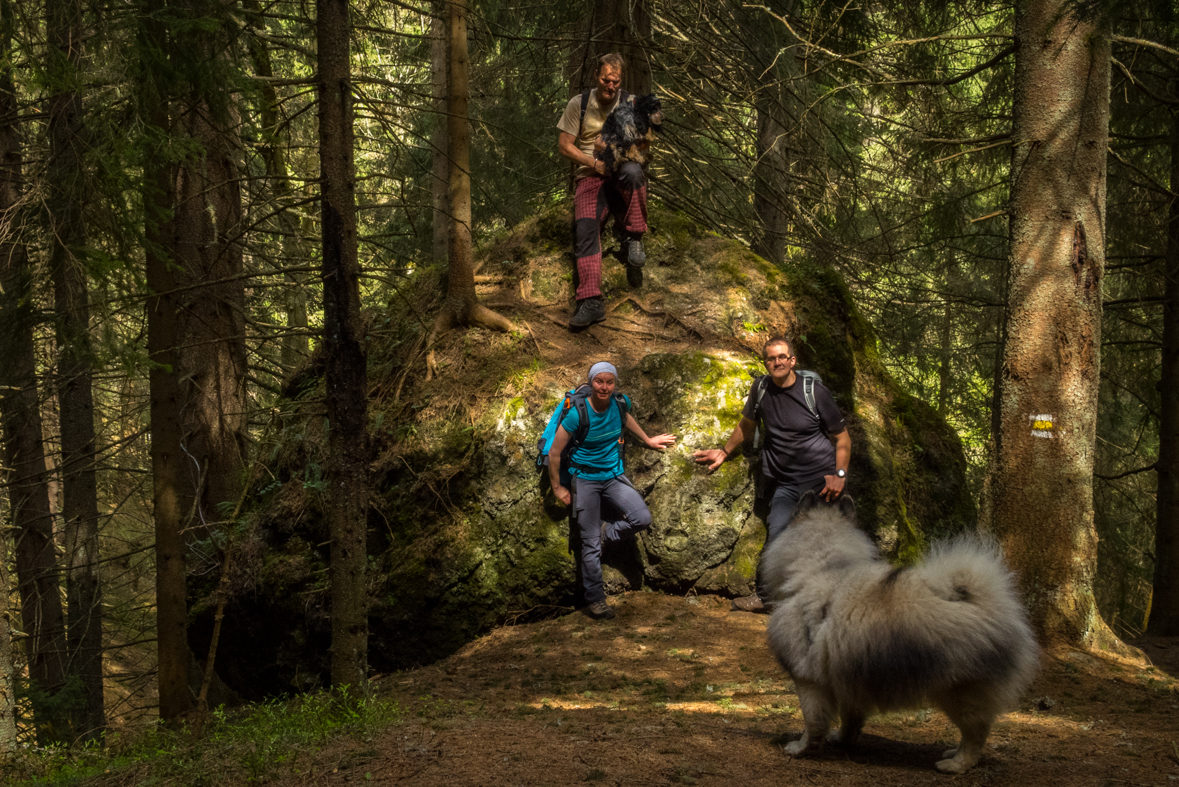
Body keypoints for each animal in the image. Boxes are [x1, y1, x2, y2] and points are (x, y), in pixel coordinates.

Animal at [763, 492, 1032, 772]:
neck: (825, 567)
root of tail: (992, 606)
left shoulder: (808, 681)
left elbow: (812, 721)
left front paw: (801, 748)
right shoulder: (848, 675)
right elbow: (851, 718)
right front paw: (843, 739)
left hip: (960, 695)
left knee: (976, 734)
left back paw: (956, 764)